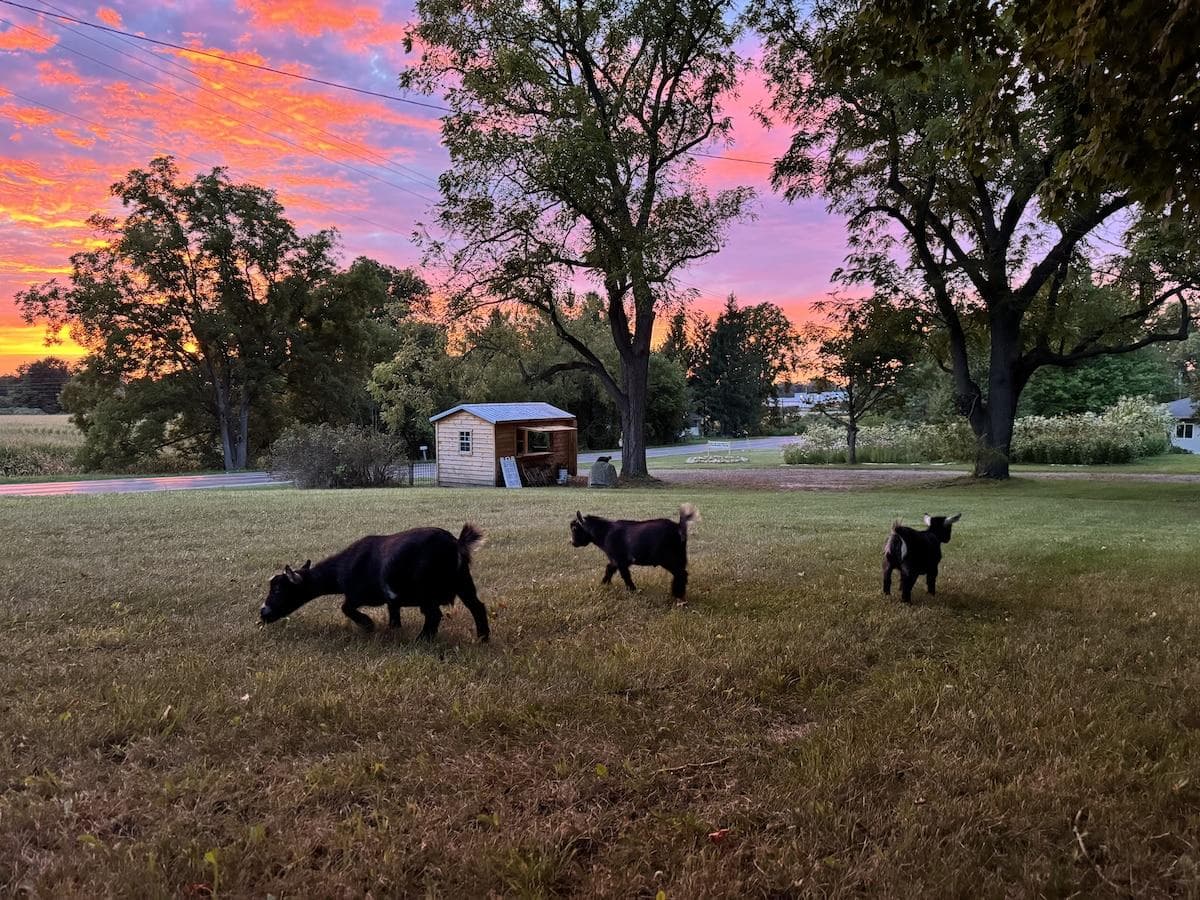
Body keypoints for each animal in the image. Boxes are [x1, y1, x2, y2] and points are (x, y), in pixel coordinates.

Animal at [260, 524, 489, 641]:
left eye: (278, 589)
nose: (263, 612)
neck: (341, 569)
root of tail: (456, 544)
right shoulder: (392, 600)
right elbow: (394, 615)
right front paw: (393, 631)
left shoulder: (357, 595)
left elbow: (345, 607)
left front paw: (368, 625)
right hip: (464, 582)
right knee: (477, 607)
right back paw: (482, 638)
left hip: (426, 589)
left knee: (434, 614)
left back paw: (422, 640)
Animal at [570, 504, 698, 601]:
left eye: (575, 528)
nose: (572, 542)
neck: (606, 532)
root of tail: (679, 527)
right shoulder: (615, 560)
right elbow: (609, 569)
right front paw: (604, 584)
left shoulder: (620, 560)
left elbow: (625, 575)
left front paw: (632, 590)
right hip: (679, 557)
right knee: (682, 574)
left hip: (669, 558)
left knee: (681, 574)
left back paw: (677, 595)